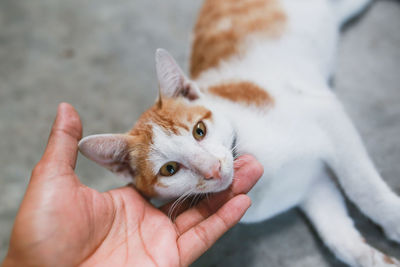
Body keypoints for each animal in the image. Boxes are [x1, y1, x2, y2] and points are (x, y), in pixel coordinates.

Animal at [78, 0, 400, 266]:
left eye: (199, 131)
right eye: (169, 169)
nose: (213, 169)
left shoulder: (324, 111)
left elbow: (363, 188)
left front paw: (394, 221)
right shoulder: (312, 184)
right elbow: (337, 235)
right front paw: (372, 257)